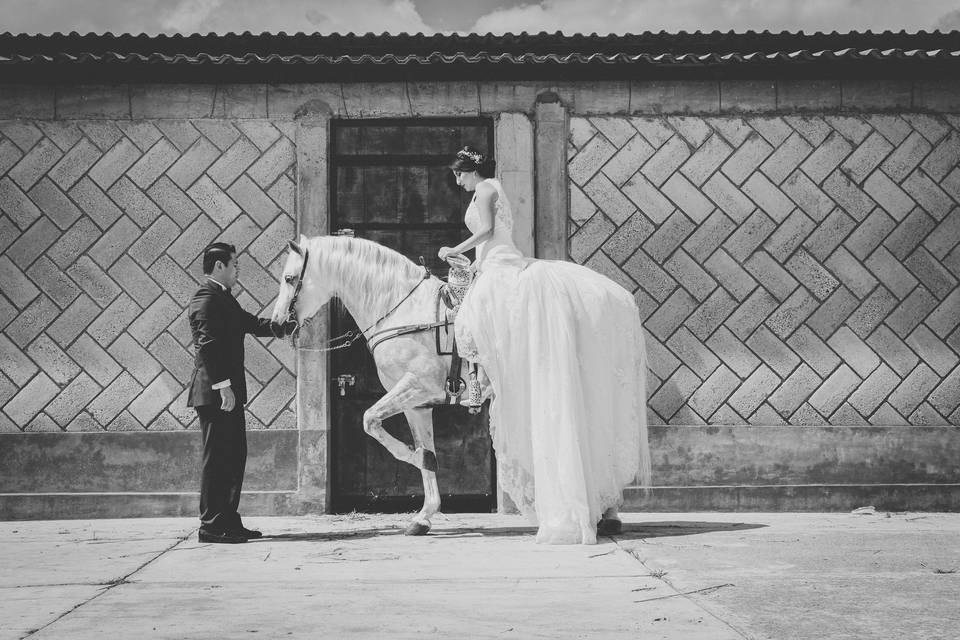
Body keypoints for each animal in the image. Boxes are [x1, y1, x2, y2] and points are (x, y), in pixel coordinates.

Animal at [272, 234, 624, 536]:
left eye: (289, 278)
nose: (275, 325)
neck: (404, 311)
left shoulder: (415, 386)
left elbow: (370, 421)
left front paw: (411, 458)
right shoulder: (416, 404)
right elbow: (427, 455)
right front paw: (424, 515)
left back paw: (604, 511)